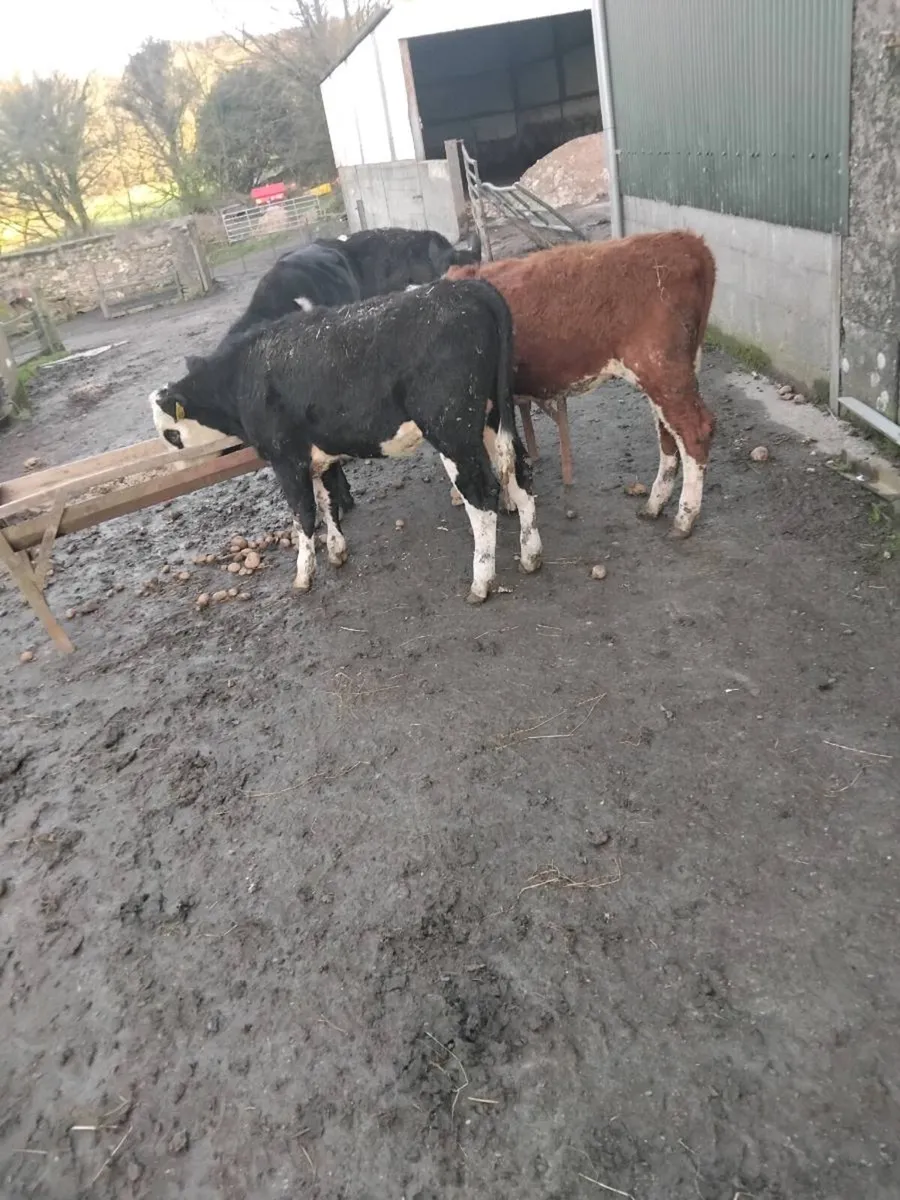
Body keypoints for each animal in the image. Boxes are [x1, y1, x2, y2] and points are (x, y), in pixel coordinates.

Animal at [150, 279, 542, 604]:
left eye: (170, 434)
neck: (242, 376)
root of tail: (472, 288)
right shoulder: (318, 455)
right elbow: (327, 502)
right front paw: (337, 551)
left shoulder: (286, 459)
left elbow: (304, 515)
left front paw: (303, 576)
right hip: (493, 415)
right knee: (520, 472)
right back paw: (531, 555)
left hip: (452, 431)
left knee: (483, 494)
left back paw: (482, 581)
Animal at [446, 231, 717, 538]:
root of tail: (687, 240)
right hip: (668, 375)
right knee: (669, 435)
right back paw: (655, 504)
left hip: (661, 369)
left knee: (694, 432)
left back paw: (684, 518)